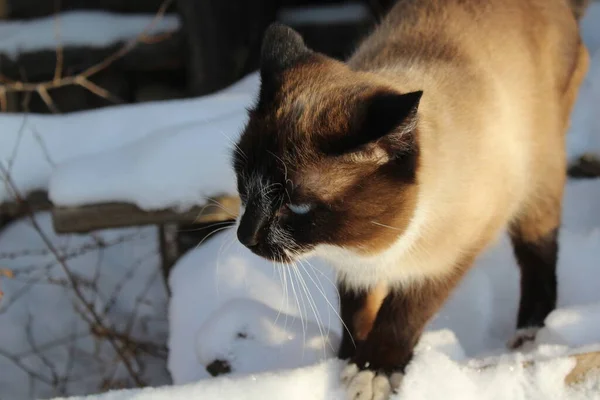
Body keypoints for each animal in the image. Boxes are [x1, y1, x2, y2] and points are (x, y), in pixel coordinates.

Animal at [232, 1, 588, 398]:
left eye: (296, 207)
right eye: (243, 183)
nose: (245, 236)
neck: (371, 246)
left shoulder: (442, 262)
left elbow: (400, 319)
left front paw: (372, 372)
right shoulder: (357, 269)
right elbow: (357, 314)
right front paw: (347, 361)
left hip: (537, 183)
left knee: (538, 255)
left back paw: (528, 335)